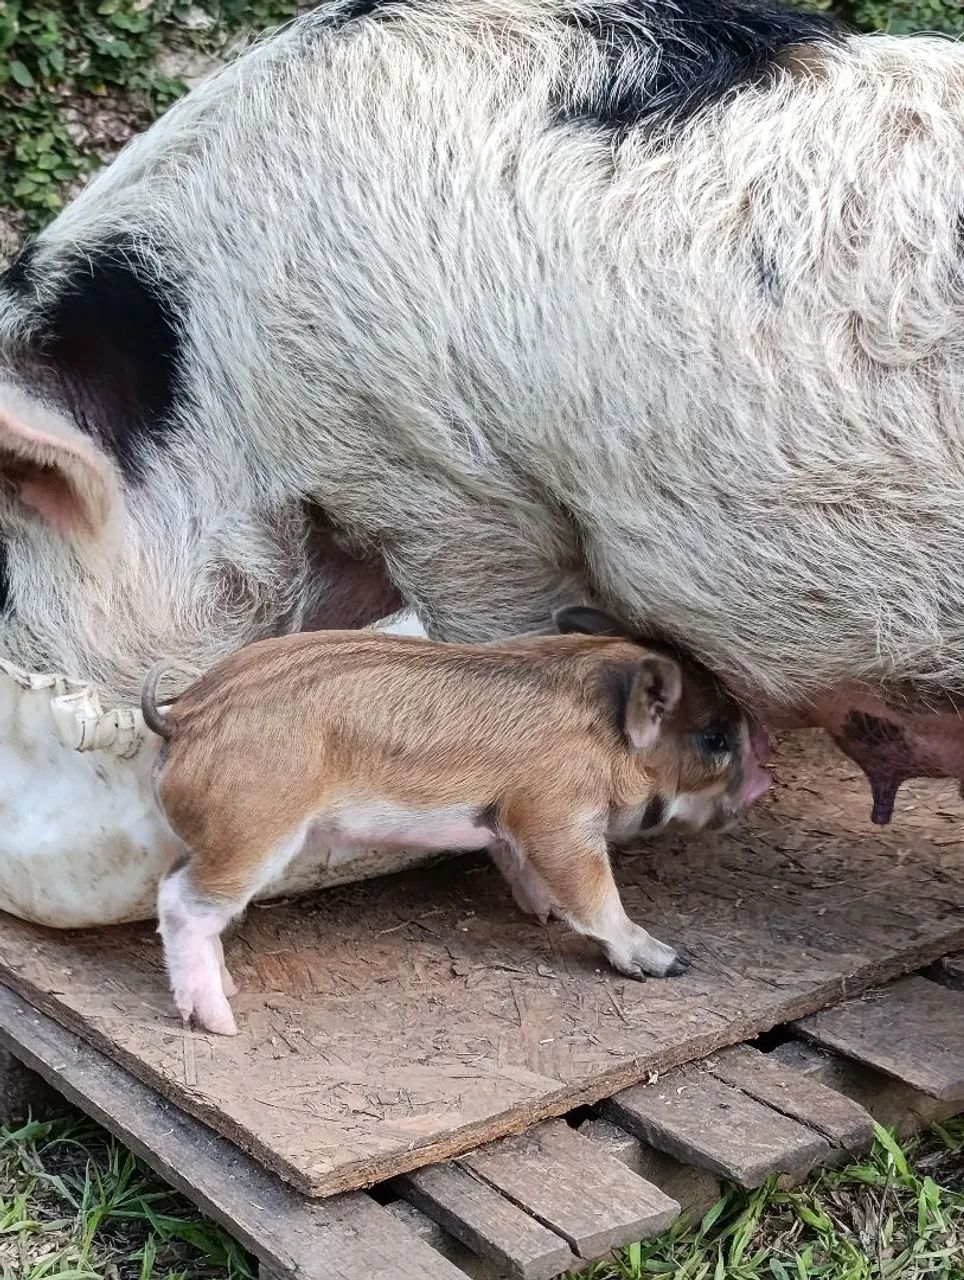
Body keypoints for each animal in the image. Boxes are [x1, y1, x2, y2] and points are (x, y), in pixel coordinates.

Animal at [142, 606, 770, 1034]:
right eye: (716, 740)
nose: (763, 780)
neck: (606, 735)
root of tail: (184, 717)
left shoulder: (511, 822)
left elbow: (521, 865)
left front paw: (543, 913)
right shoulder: (557, 814)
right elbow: (594, 894)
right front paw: (673, 962)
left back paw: (228, 990)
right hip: (253, 826)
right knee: (181, 903)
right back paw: (222, 1023)